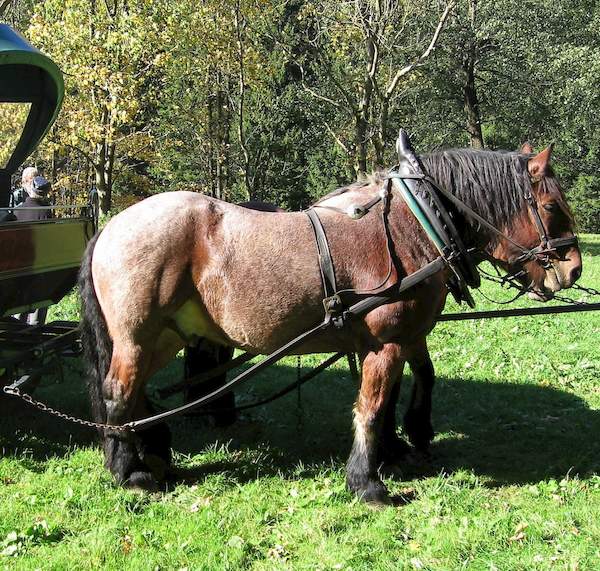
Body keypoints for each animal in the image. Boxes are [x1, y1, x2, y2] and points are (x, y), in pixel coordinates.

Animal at [78, 145, 580, 508]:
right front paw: (367, 482)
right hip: (136, 336)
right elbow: (372, 406)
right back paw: (130, 471)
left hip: (164, 336)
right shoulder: (387, 339)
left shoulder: (402, 334)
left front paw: (405, 442)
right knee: (117, 394)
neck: (414, 225)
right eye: (551, 206)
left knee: (137, 393)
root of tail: (110, 227)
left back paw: (156, 449)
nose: (573, 268)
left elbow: (417, 380)